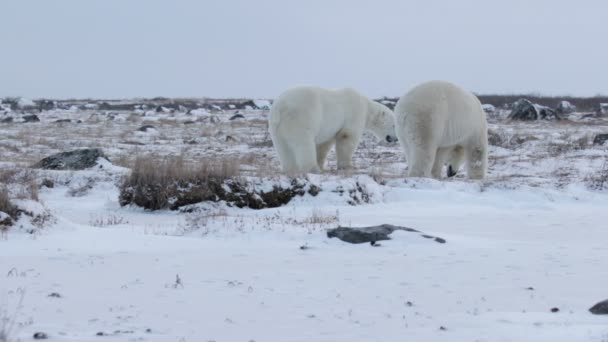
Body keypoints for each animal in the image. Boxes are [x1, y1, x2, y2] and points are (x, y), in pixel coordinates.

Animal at [268, 84, 396, 172]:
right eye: (394, 125)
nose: (395, 139)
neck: (367, 107)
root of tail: (281, 107)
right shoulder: (354, 114)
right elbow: (347, 137)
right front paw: (347, 166)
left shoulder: (329, 129)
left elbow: (324, 144)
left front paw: (321, 164)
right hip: (301, 118)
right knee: (304, 143)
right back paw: (313, 169)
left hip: (277, 128)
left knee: (283, 147)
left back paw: (290, 169)